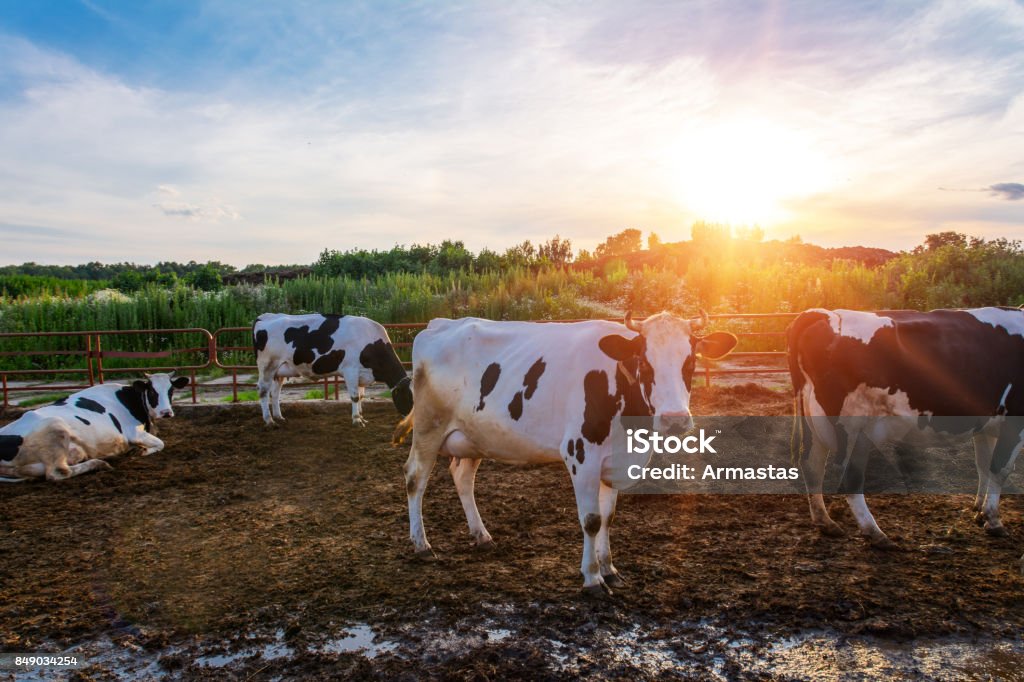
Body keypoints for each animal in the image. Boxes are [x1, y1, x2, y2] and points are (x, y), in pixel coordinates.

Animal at [0, 374, 190, 481]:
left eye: (171, 391)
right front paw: (142, 451)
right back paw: (99, 463)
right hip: (55, 428)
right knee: (58, 473)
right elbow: (160, 443)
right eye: (151, 391)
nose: (166, 412)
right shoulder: (133, 433)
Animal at [251, 311, 411, 425]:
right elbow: (354, 396)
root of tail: (266, 316)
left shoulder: (362, 374)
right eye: (410, 397)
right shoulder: (350, 370)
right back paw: (269, 421)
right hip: (267, 365)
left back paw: (279, 417)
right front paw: (357, 420)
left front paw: (361, 417)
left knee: (275, 393)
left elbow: (361, 396)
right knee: (263, 391)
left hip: (279, 371)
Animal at [391, 311, 737, 593]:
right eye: (644, 362)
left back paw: (481, 535)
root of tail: (438, 324)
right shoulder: (581, 455)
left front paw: (610, 570)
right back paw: (421, 544)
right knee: (415, 477)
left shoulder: (614, 460)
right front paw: (593, 579)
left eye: (690, 361)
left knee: (462, 477)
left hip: (474, 436)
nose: (674, 419)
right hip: (429, 427)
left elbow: (609, 517)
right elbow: (591, 520)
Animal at [790, 307, 1024, 548]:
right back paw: (875, 532)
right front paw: (993, 519)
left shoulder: (986, 426)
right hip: (852, 427)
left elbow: (983, 465)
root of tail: (828, 314)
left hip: (816, 424)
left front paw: (979, 511)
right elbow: (1000, 468)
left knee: (812, 465)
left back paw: (825, 522)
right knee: (848, 477)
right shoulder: (1015, 422)